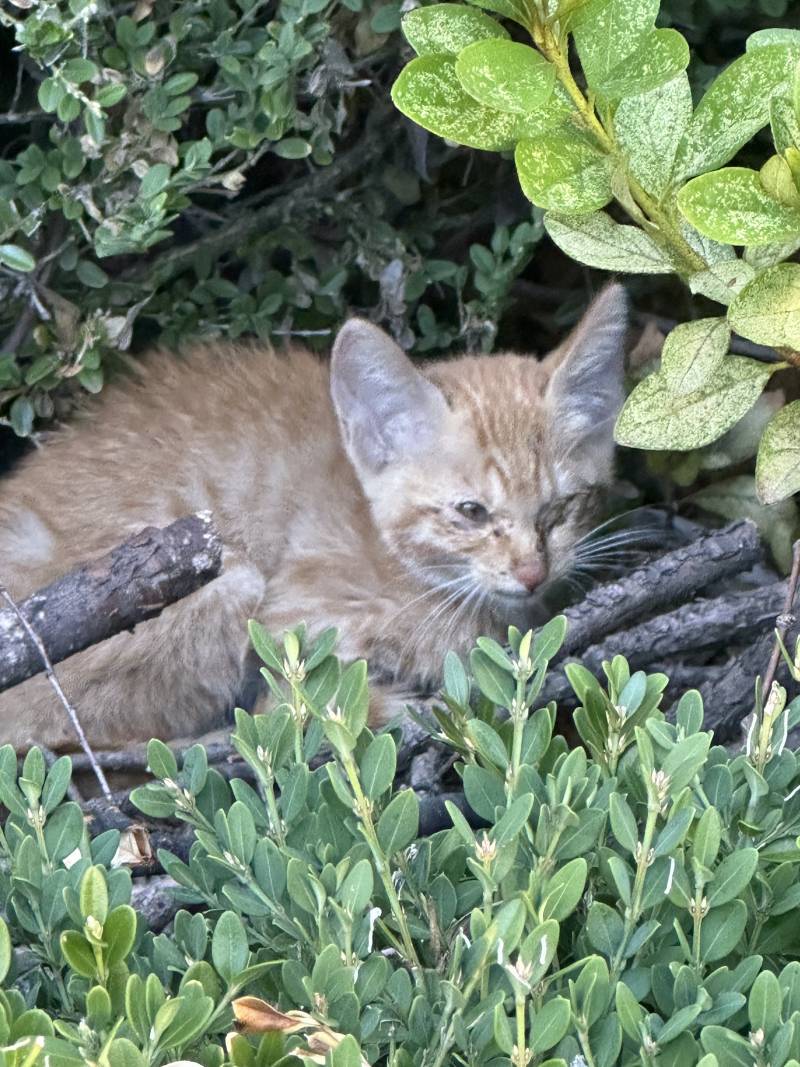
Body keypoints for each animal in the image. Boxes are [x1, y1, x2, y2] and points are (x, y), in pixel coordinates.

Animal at [0, 283, 631, 751]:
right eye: (471, 512)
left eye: (561, 508)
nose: (532, 573)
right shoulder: (292, 621)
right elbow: (298, 704)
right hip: (223, 575)